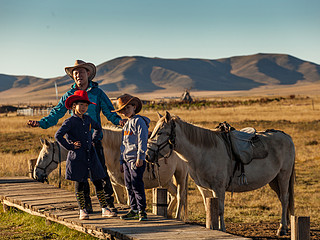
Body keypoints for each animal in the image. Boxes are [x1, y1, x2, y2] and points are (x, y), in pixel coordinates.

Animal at [33, 124, 189, 220]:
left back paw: (177, 217)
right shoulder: (115, 183)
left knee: (180, 196)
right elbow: (120, 201)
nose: (36, 174)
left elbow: (129, 201)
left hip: (180, 175)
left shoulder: (127, 183)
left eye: (45, 155)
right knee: (174, 195)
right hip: (167, 180)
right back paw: (169, 214)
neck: (115, 150)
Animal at [145, 112, 296, 236]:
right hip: (274, 180)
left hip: (283, 176)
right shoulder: (204, 188)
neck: (204, 152)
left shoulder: (219, 188)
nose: (147, 155)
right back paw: (286, 226)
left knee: (284, 199)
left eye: (160, 132)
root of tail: (287, 137)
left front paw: (221, 229)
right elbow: (209, 208)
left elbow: (220, 210)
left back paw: (282, 229)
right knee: (282, 199)